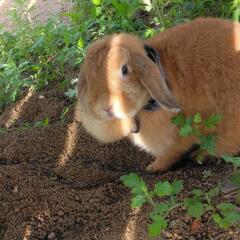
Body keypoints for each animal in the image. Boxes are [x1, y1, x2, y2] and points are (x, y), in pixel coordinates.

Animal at [76, 18, 240, 172]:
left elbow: (168, 155)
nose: (105, 108)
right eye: (88, 77)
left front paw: (152, 168)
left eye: (124, 69)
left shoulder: (173, 140)